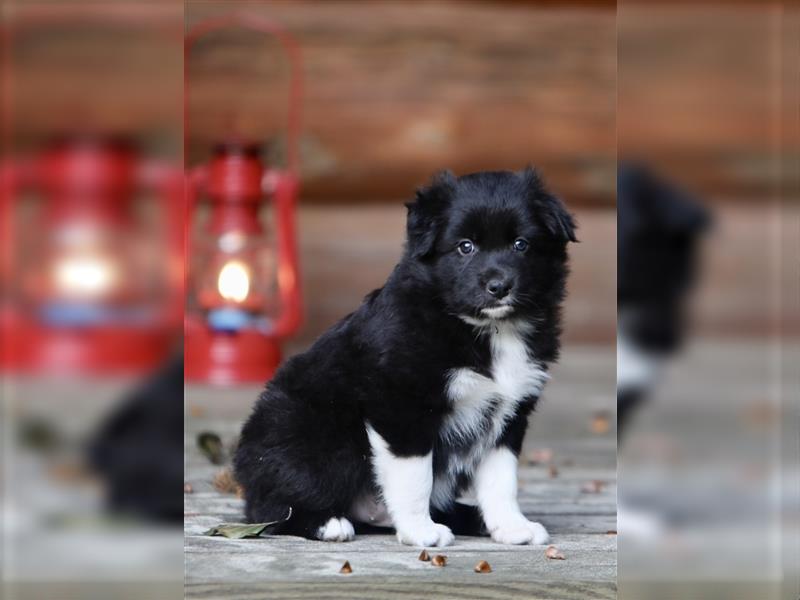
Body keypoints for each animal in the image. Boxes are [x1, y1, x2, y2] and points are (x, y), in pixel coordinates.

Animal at [231, 166, 576, 548]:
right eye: (465, 246)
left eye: (521, 244)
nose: (499, 286)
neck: (486, 329)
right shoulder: (402, 405)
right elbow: (415, 477)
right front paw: (420, 531)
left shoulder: (508, 413)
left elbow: (502, 479)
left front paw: (512, 526)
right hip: (313, 433)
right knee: (267, 509)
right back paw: (327, 523)